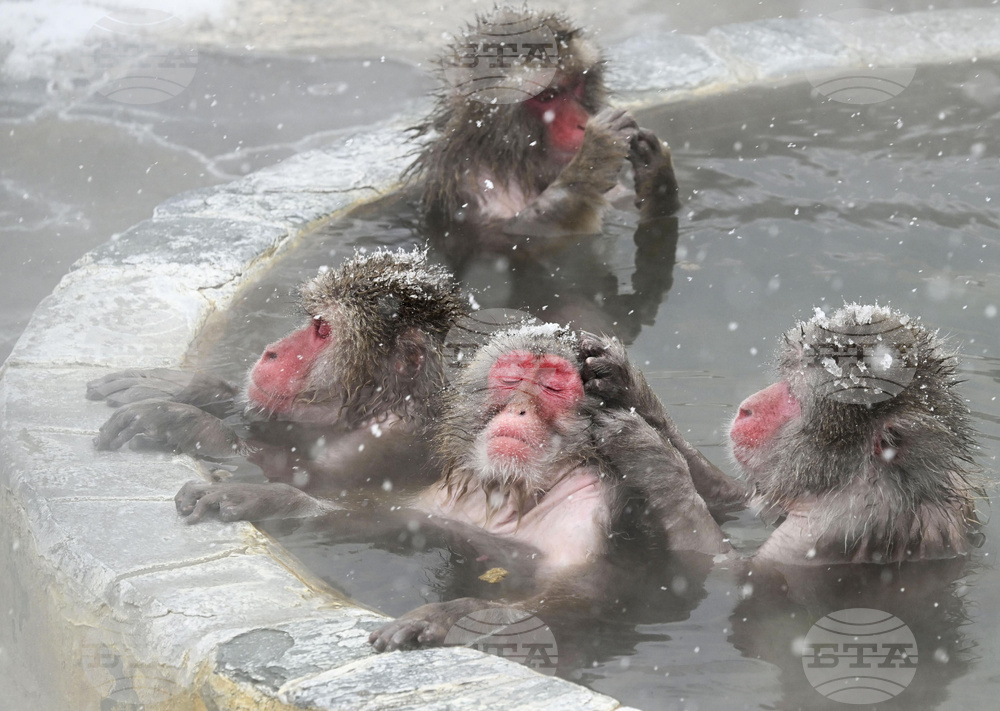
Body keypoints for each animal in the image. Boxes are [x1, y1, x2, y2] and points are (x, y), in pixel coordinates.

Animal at [88, 249, 467, 492]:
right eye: (314, 321)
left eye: (323, 330)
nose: (271, 351)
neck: (375, 408)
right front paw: (184, 388)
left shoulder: (385, 443)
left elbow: (310, 480)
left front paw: (182, 422)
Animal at [173, 324, 729, 651]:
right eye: (512, 378)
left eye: (553, 386)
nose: (520, 409)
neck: (516, 491)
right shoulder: (449, 500)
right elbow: (391, 520)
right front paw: (268, 497)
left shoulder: (592, 507)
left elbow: (583, 593)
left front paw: (452, 616)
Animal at [409, 7, 680, 260]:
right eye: (547, 96)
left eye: (577, 84)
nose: (583, 123)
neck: (512, 158)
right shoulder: (476, 186)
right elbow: (522, 235)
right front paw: (592, 159)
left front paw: (656, 172)